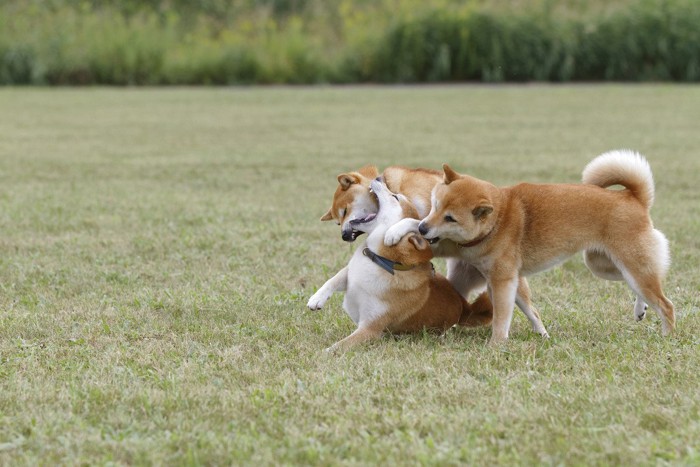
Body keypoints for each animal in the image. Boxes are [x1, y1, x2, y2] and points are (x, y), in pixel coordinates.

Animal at [306, 178, 492, 352]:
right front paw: (317, 299)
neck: (382, 261)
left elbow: (339, 346)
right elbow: (334, 279)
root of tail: (465, 306)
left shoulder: (370, 328)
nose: (379, 178)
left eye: (395, 196)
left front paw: (323, 353)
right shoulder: (351, 273)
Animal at [382, 150, 672, 344]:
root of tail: (633, 198)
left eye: (450, 218)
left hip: (630, 264)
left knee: (665, 304)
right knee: (641, 288)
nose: (424, 230)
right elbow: (411, 222)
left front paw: (496, 346)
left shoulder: (503, 280)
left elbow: (502, 317)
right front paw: (394, 232)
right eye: (435, 205)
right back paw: (640, 309)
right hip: (604, 265)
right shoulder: (455, 247)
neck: (498, 220)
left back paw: (667, 335)